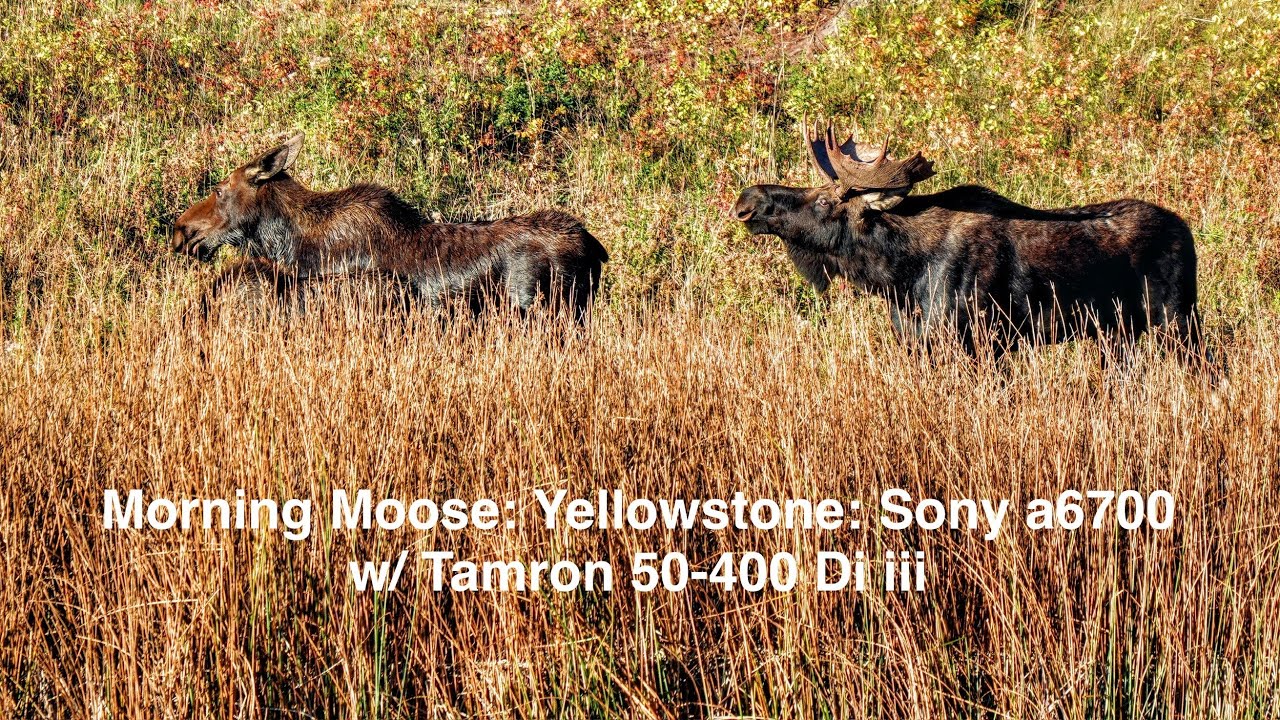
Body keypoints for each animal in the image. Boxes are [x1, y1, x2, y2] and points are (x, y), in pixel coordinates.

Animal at [733, 122, 1202, 362]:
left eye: (825, 201)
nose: (747, 200)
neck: (898, 277)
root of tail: (1188, 231)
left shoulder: (984, 342)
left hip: (1177, 321)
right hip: (1119, 335)